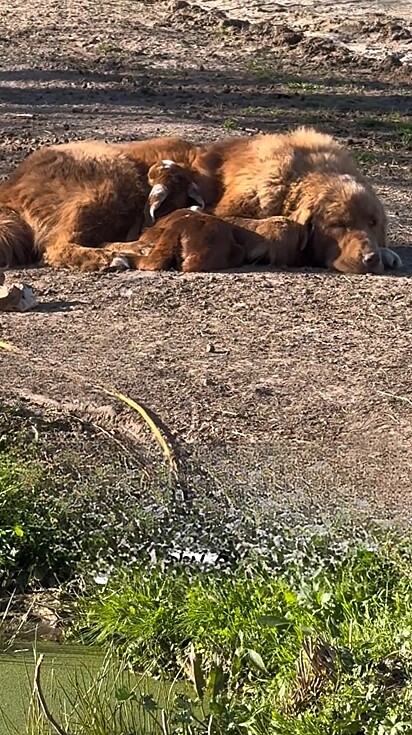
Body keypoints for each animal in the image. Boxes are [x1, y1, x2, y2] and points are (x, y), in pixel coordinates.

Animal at [0, 128, 400, 274]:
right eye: (338, 225)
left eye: (373, 223)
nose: (370, 259)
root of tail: (10, 186)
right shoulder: (227, 212)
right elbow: (281, 225)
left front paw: (388, 253)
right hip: (114, 179)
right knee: (56, 246)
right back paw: (110, 257)